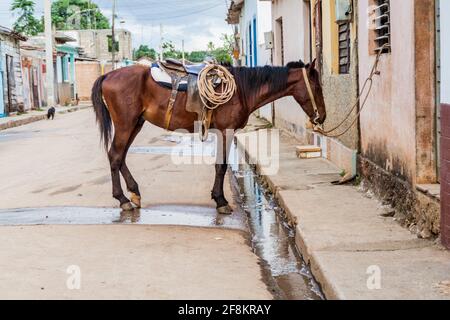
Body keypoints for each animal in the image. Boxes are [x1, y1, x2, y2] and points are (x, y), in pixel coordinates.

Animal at [91, 60, 326, 215]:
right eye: (316, 86)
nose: (322, 116)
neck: (241, 89)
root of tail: (108, 75)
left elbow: (220, 165)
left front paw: (218, 198)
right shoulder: (226, 131)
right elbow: (221, 166)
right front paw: (221, 201)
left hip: (135, 124)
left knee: (120, 156)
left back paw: (134, 193)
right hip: (125, 124)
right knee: (115, 155)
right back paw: (122, 199)